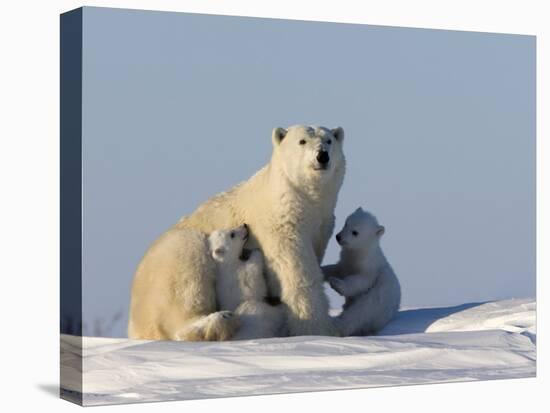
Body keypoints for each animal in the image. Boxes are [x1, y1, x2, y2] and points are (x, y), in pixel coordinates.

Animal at [129, 124, 344, 338]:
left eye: (329, 140)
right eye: (302, 141)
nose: (322, 156)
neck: (300, 199)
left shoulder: (321, 225)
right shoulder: (281, 225)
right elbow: (297, 272)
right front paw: (319, 330)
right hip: (173, 261)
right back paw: (220, 319)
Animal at [324, 206, 402, 334]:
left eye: (355, 232)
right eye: (346, 223)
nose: (338, 237)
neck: (359, 253)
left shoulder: (370, 270)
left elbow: (359, 282)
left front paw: (336, 283)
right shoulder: (345, 263)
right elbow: (336, 269)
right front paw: (322, 270)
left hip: (374, 304)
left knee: (356, 316)